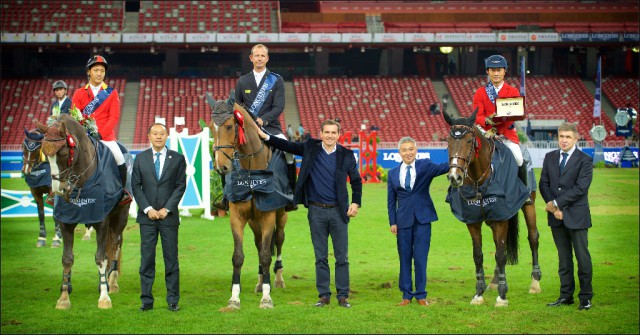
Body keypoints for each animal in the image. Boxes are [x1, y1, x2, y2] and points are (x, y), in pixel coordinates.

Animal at [36, 114, 130, 312]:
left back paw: (112, 282)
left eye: (64, 153)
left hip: (120, 215)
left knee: (116, 243)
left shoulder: (101, 221)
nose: (59, 190)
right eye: (46, 156)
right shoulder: (65, 222)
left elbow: (100, 258)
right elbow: (67, 259)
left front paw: (104, 298)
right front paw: (63, 298)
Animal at [206, 91, 288, 310]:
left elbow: (267, 255)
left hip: (281, 216)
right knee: (259, 244)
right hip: (253, 221)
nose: (221, 167)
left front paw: (267, 299)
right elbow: (238, 256)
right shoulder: (237, 217)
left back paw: (277, 279)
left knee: (278, 240)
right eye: (211, 128)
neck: (252, 170)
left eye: (229, 126)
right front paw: (234, 298)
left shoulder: (268, 216)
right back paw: (260, 282)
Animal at [442, 109, 544, 308]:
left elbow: (501, 255)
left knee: (533, 238)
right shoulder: (473, 221)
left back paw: (535, 282)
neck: (478, 179)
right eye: (448, 141)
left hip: (528, 205)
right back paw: (495, 281)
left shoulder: (500, 218)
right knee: (499, 246)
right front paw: (478, 293)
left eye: (469, 141)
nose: (454, 177)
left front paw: (502, 296)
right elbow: (479, 255)